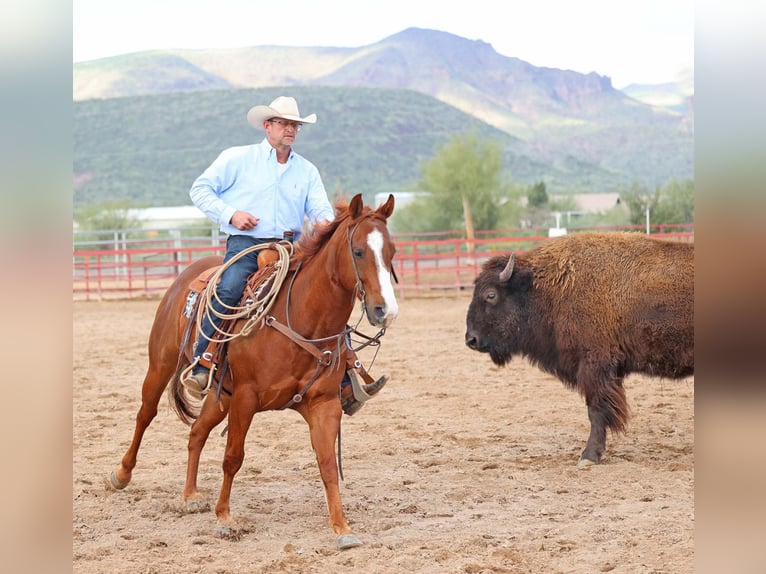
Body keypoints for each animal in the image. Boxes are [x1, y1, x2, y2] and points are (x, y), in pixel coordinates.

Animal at [108, 193, 398, 549]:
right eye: (358, 251)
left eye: (392, 252)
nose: (385, 310)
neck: (301, 318)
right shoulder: (246, 398)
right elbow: (233, 457)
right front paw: (224, 518)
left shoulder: (324, 404)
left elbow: (328, 463)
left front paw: (342, 528)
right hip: (161, 366)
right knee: (145, 414)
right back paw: (121, 474)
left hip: (220, 395)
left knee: (197, 431)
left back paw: (190, 495)